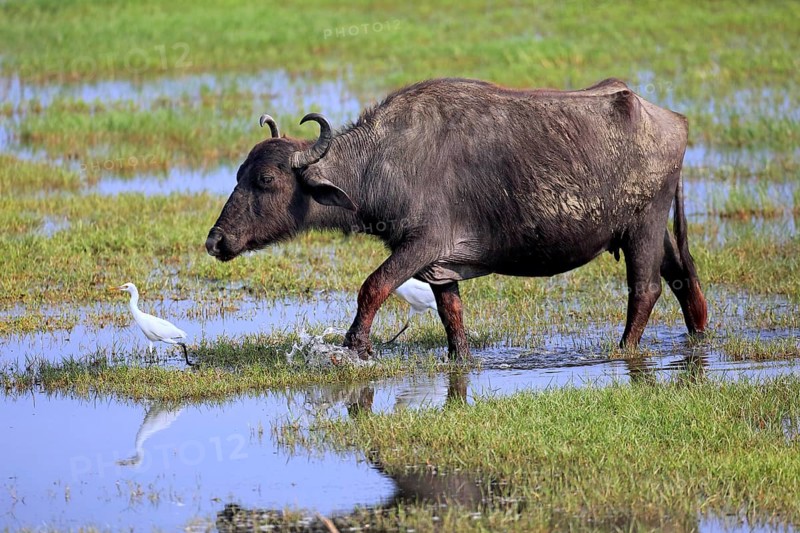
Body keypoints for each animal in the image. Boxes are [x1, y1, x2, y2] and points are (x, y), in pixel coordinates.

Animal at [206, 77, 707, 361]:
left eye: (266, 179)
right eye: (240, 174)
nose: (216, 241)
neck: (383, 162)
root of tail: (672, 119)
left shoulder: (422, 244)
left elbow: (373, 286)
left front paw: (356, 347)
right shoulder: (441, 266)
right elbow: (452, 315)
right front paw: (458, 357)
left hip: (643, 225)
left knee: (645, 289)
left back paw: (624, 349)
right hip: (652, 228)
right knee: (683, 275)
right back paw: (700, 335)